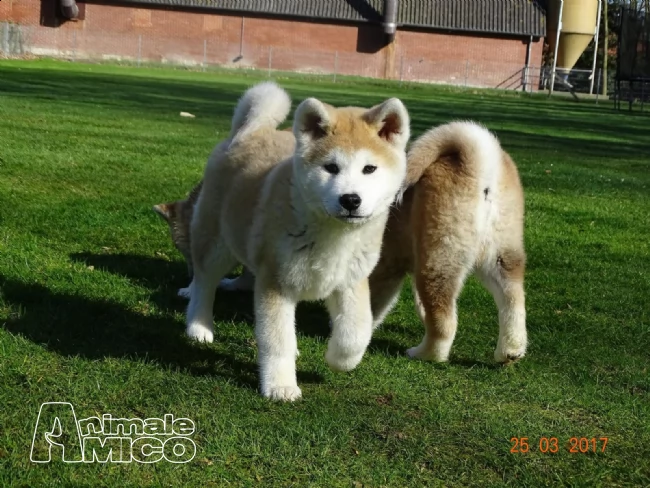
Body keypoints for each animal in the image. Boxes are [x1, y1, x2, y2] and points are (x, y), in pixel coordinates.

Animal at [185, 81, 408, 400]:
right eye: (331, 167)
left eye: (369, 169)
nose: (350, 200)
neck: (334, 235)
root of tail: (250, 131)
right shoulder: (275, 282)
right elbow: (277, 341)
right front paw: (280, 386)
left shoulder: (350, 280)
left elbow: (356, 332)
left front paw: (339, 359)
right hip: (215, 241)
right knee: (205, 282)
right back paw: (199, 327)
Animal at [368, 120, 524, 364]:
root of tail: (480, 161)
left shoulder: (386, 266)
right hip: (501, 256)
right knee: (513, 302)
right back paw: (510, 351)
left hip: (438, 261)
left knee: (445, 323)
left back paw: (425, 353)